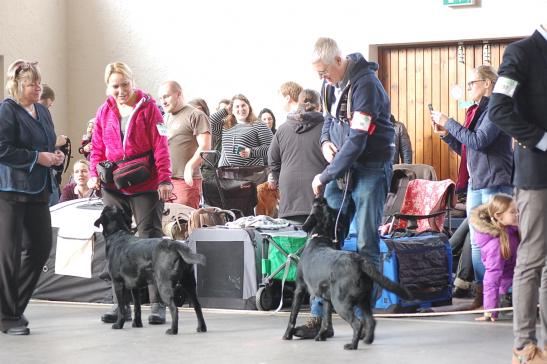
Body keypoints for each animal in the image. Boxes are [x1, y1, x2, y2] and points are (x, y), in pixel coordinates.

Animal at [94, 205, 208, 336]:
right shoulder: (134, 287)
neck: (117, 234)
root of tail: (174, 245)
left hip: (164, 284)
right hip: (188, 283)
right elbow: (137, 307)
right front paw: (137, 323)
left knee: (174, 308)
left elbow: (122, 307)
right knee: (197, 306)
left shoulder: (118, 283)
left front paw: (118, 324)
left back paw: (173, 330)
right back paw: (201, 328)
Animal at [284, 199, 414, 350]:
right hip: (363, 300)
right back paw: (367, 339)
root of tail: (359, 261)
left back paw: (352, 345)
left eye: (319, 206)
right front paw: (321, 336)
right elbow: (325, 320)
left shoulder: (300, 289)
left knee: (357, 323)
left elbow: (293, 315)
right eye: (328, 209)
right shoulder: (327, 298)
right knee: (370, 321)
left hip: (341, 302)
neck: (320, 237)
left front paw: (287, 335)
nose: (320, 199)